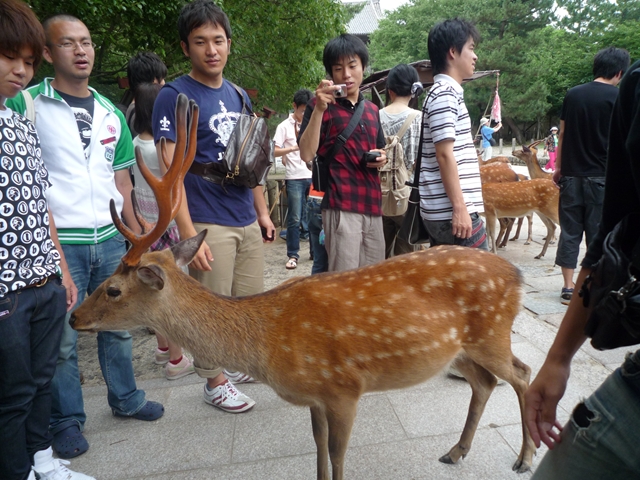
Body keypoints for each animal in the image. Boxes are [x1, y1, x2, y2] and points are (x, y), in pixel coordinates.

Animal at [69, 94, 536, 480]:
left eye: (112, 288)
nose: (74, 316)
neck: (270, 343)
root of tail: (516, 278)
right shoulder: (317, 397)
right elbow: (318, 451)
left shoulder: (344, 388)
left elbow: (338, 455)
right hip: (460, 347)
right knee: (484, 382)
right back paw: (456, 451)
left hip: (491, 332)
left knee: (522, 372)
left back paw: (524, 457)